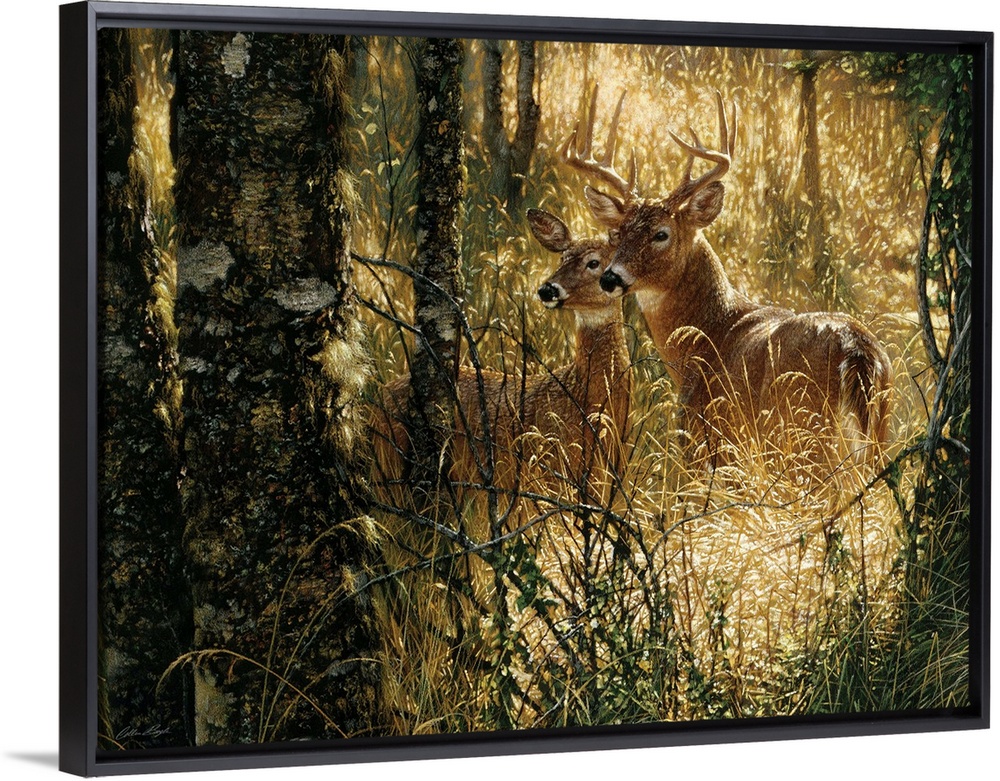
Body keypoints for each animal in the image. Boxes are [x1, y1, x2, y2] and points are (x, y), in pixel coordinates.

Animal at [568, 90, 893, 467]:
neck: (707, 332)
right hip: (877, 432)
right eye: (617, 233)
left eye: (661, 234)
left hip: (803, 434)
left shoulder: (707, 438)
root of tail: (857, 351)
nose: (610, 278)